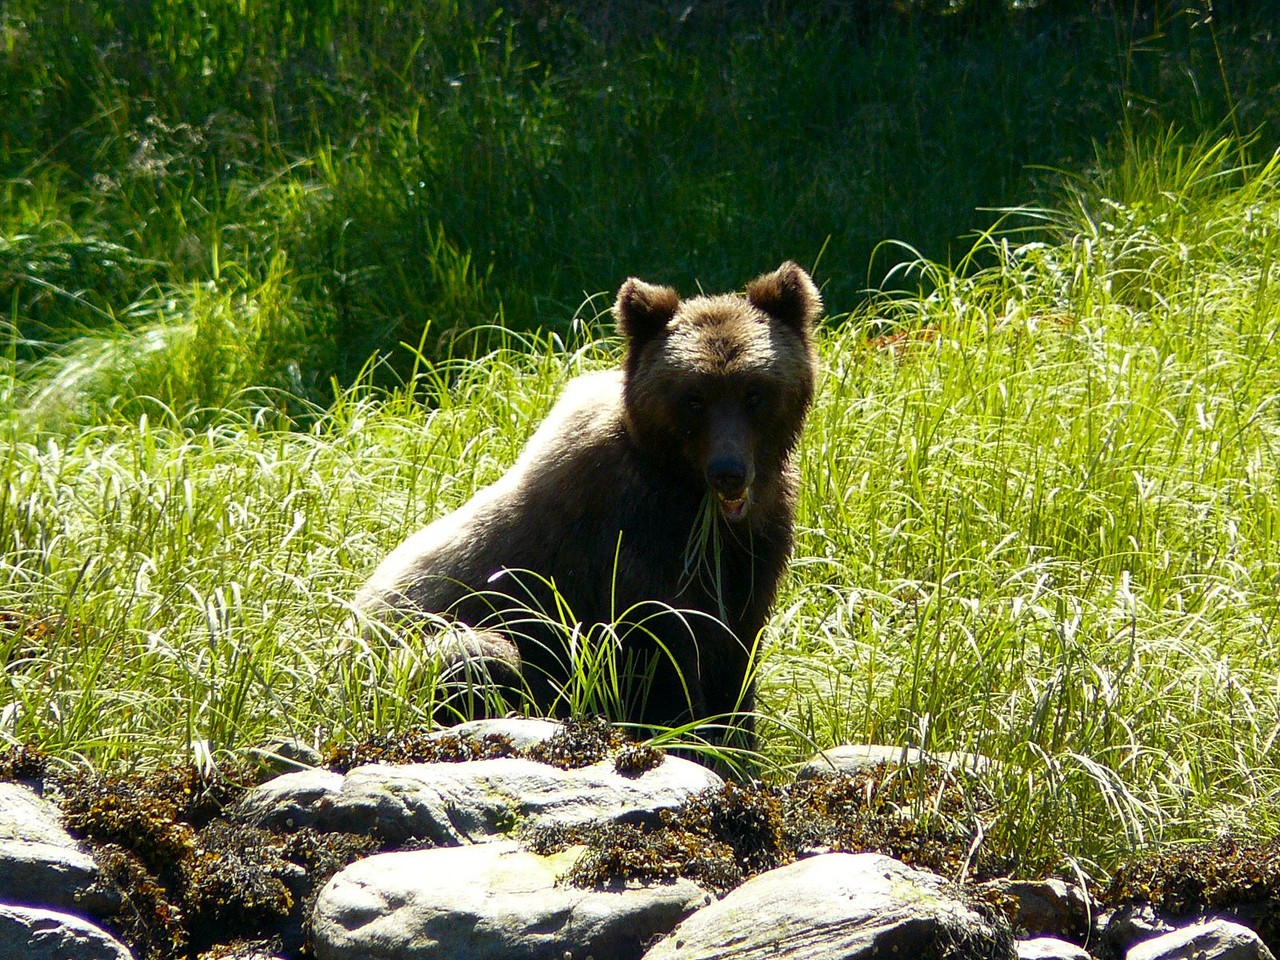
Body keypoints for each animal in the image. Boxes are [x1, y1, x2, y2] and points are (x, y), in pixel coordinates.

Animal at [355, 263, 824, 742]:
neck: (691, 499)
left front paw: (738, 741)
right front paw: (688, 736)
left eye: (754, 392)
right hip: (413, 650)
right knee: (474, 653)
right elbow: (664, 656)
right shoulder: (630, 544)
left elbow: (738, 655)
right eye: (693, 399)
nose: (728, 471)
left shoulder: (754, 552)